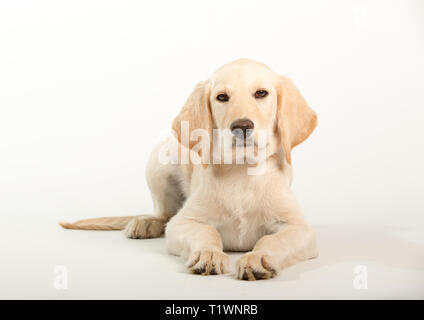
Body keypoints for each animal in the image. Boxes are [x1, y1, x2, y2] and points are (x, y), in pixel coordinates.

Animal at [59, 59, 318, 280]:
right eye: (222, 97)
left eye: (261, 93)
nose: (242, 126)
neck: (242, 170)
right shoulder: (183, 223)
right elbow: (206, 232)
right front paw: (208, 254)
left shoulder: (300, 228)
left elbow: (274, 241)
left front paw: (258, 257)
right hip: (159, 163)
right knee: (164, 214)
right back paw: (146, 223)